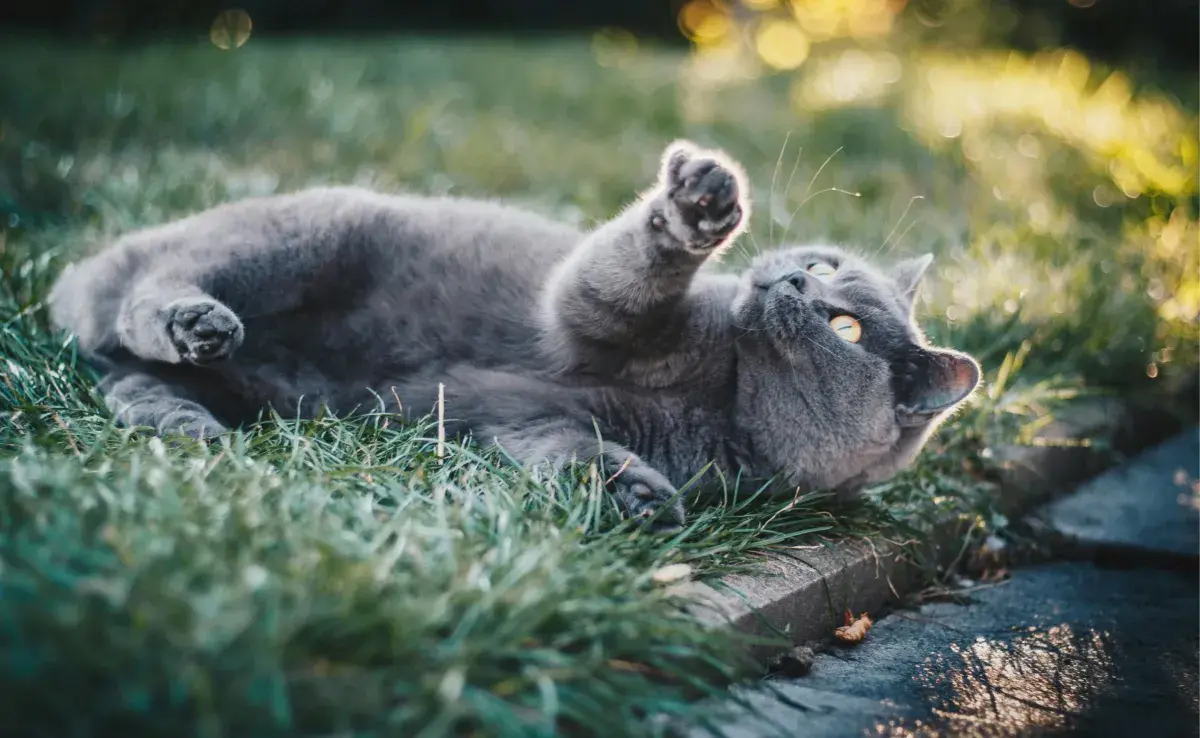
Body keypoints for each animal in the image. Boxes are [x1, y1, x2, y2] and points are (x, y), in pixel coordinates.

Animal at [51, 139, 979, 530]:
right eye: (822, 265)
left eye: (847, 326)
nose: (787, 279)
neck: (724, 397)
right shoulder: (586, 318)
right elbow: (612, 276)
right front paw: (699, 204)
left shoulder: (535, 424)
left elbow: (566, 452)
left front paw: (637, 498)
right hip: (301, 236)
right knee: (146, 292)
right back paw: (194, 321)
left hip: (256, 388)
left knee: (126, 378)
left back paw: (189, 424)